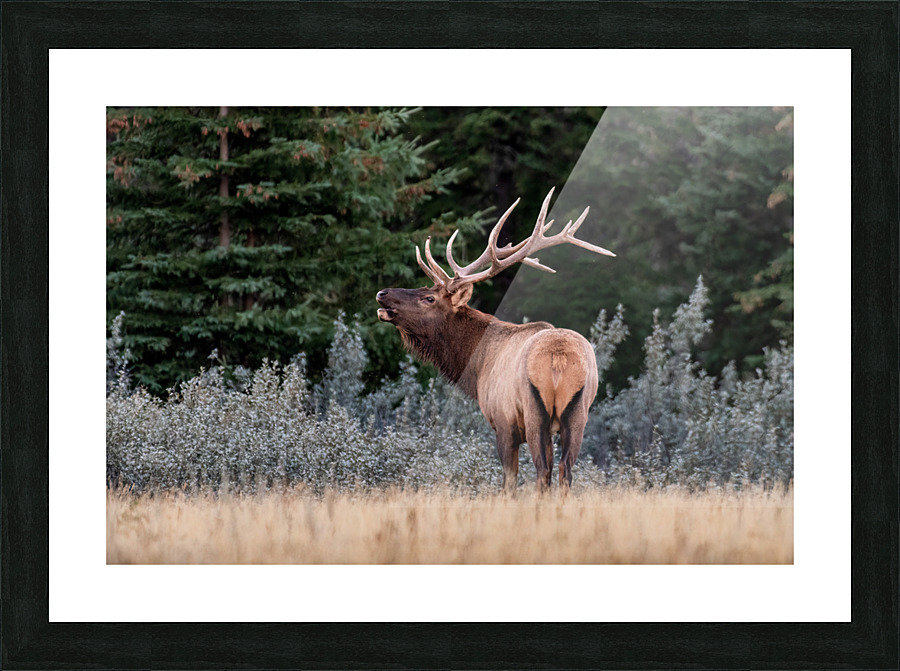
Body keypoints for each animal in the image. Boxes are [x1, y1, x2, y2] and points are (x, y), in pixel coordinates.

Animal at [376, 188, 615, 493]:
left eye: (428, 298)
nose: (382, 293)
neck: (477, 367)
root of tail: (558, 357)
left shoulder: (503, 423)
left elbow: (508, 481)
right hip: (578, 413)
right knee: (564, 470)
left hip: (534, 412)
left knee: (542, 471)